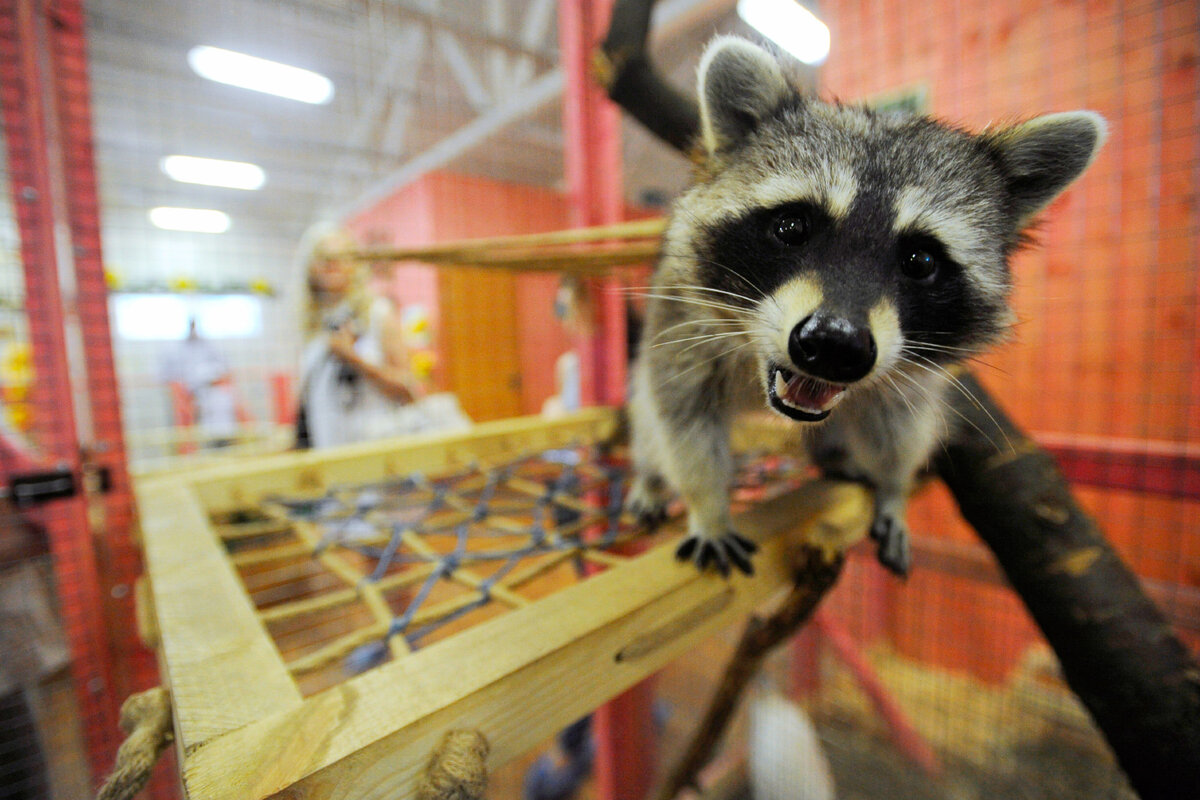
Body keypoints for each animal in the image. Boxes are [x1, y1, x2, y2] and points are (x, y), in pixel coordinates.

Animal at [628, 37, 1104, 575]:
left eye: (921, 260)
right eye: (792, 227)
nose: (834, 344)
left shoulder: (909, 374)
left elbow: (898, 431)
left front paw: (893, 490)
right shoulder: (682, 322)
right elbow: (682, 421)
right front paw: (708, 506)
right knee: (647, 421)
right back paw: (649, 479)